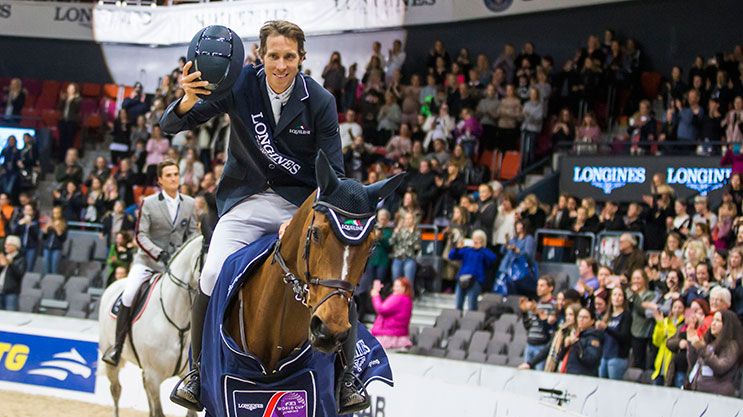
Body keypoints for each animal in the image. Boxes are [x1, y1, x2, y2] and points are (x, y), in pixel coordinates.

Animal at [99, 234, 205, 416]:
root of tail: (114, 284)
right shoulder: (153, 377)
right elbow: (159, 412)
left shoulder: (185, 375)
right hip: (111, 361)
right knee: (116, 390)